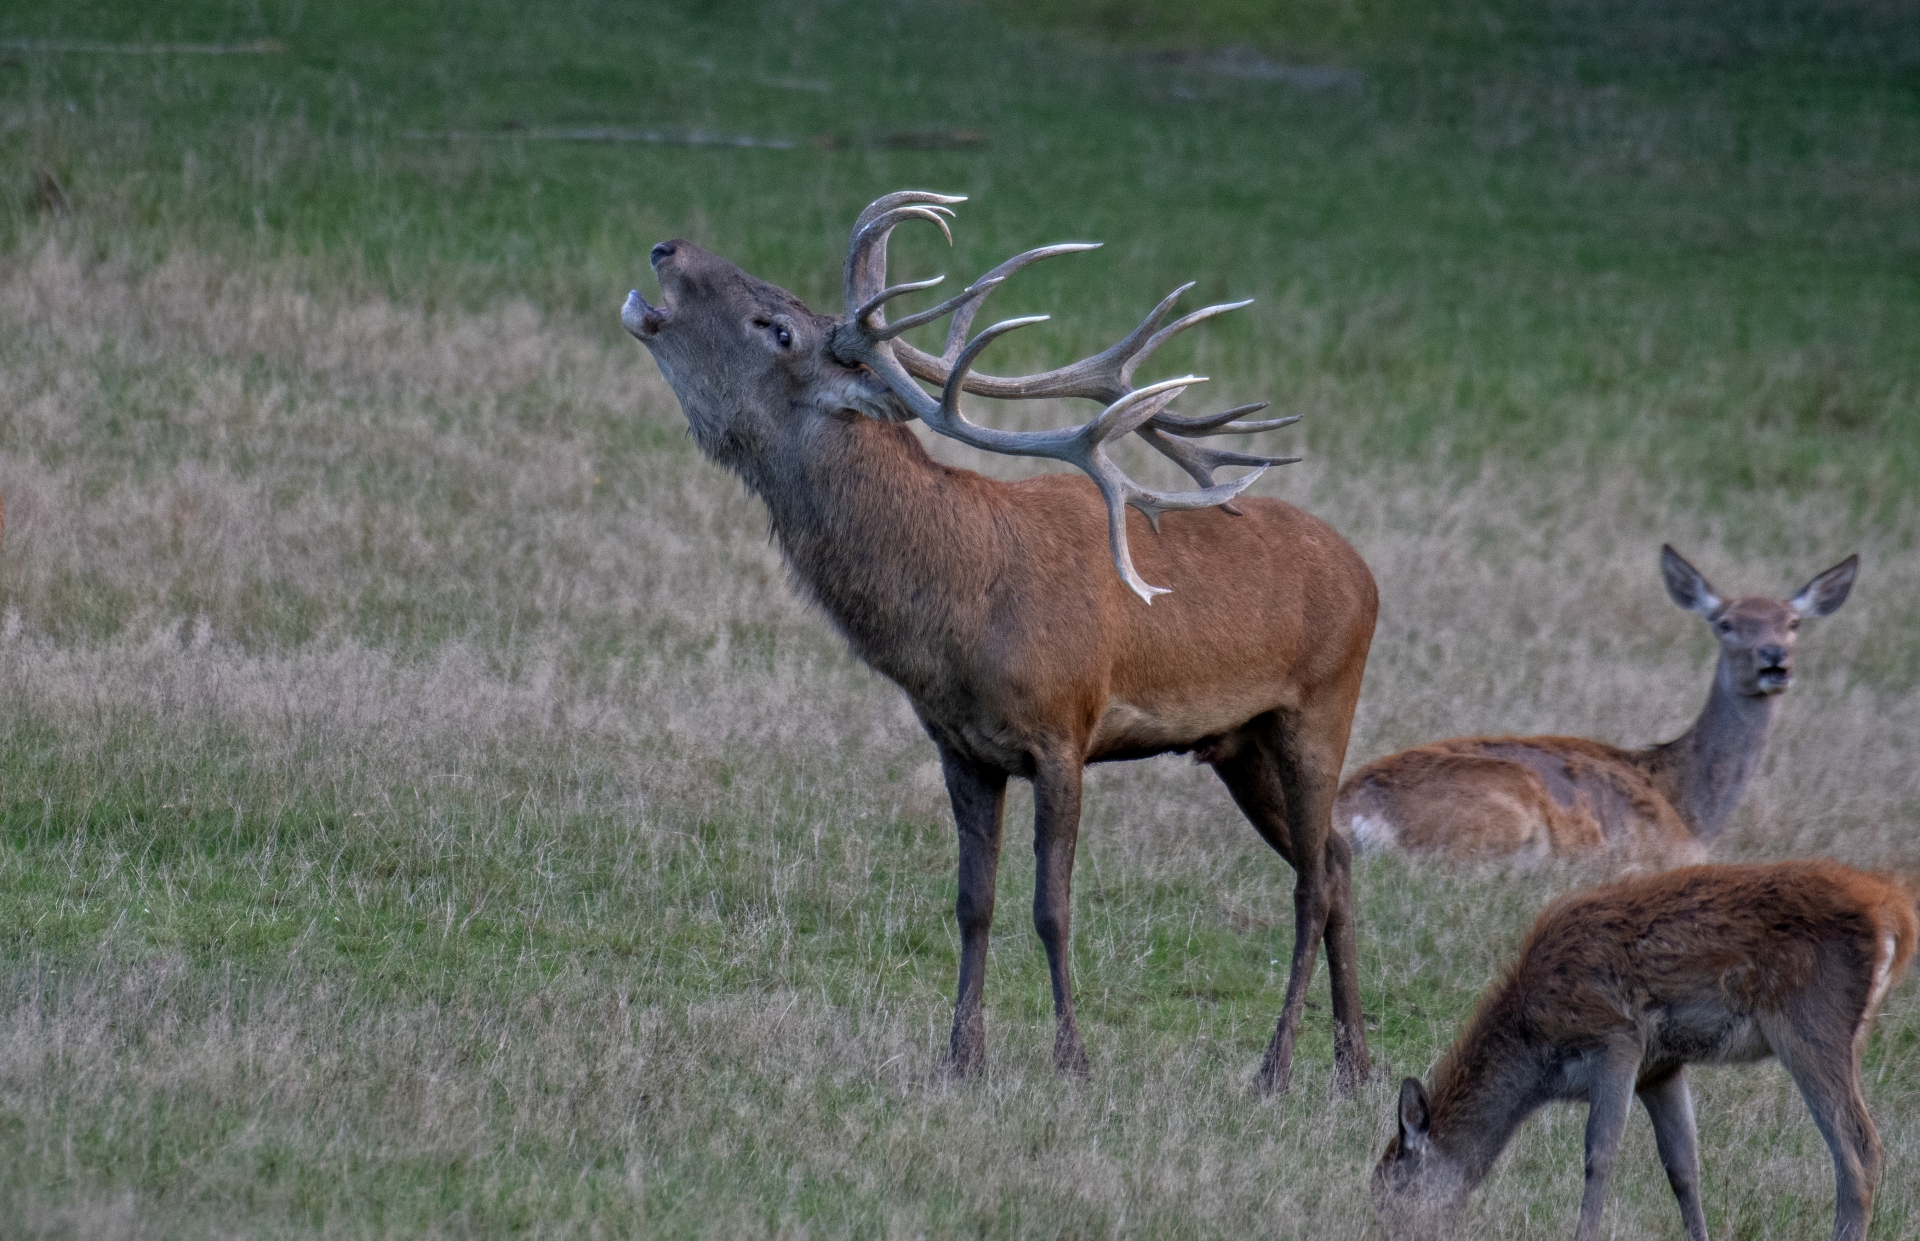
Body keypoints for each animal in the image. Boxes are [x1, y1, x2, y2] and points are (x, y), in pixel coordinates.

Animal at [625, 189, 1382, 1091]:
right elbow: (972, 903)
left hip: (1320, 708)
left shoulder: (1064, 729)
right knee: (1334, 856)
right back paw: (1354, 1061)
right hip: (1240, 743)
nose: (667, 248)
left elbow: (1051, 907)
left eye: (776, 327)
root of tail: (1367, 575)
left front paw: (1073, 1060)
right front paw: (961, 1055)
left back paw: (1276, 1067)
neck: (955, 620)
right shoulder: (962, 747)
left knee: (1312, 881)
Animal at [1336, 549, 1858, 872]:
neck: (1689, 807)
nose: (1774, 658)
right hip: (1498, 812)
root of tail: (1352, 813)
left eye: (1793, 623)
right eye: (1725, 623)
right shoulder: (1670, 854)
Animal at [1374, 864, 1912, 1241]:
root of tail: (1896, 917)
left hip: (1810, 1021)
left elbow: (1599, 1153)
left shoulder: (1616, 1037)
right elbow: (1683, 1167)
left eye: (1392, 1188)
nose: (1385, 1229)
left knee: (1859, 1147)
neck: (1537, 1051)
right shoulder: (1662, 1067)